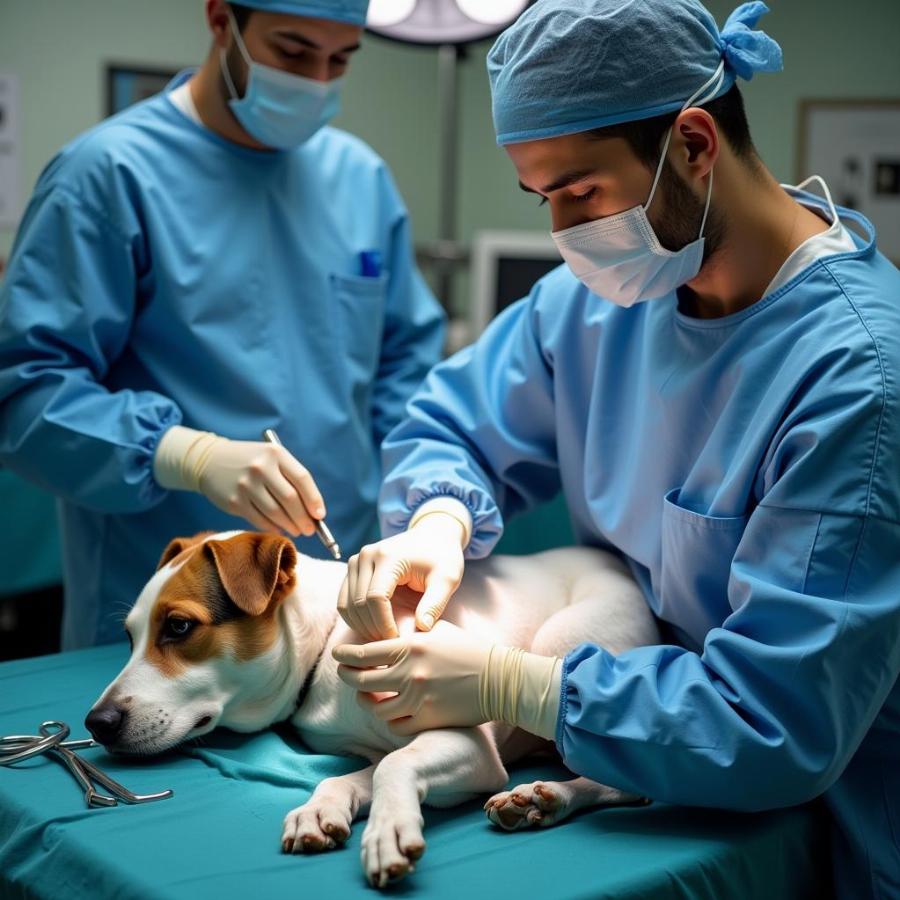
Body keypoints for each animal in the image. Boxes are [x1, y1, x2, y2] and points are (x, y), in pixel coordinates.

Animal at [86, 532, 660, 888]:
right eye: (129, 637)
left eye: (179, 627)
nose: (97, 723)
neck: (325, 644)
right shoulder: (362, 747)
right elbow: (357, 772)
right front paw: (322, 809)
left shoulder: (472, 748)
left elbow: (394, 765)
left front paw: (388, 830)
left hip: (562, 643)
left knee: (627, 774)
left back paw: (548, 795)